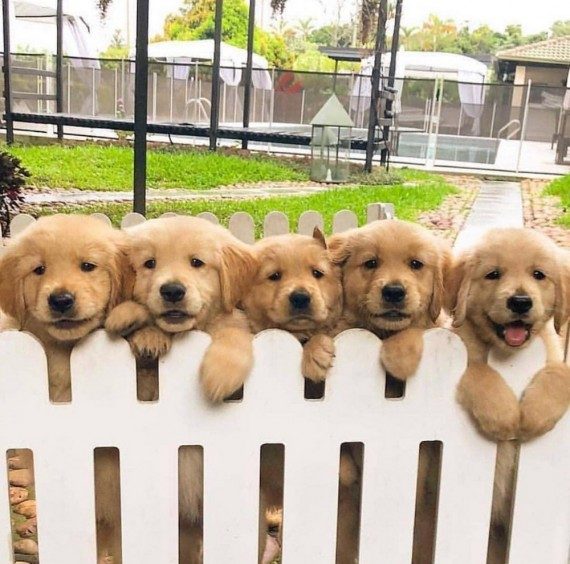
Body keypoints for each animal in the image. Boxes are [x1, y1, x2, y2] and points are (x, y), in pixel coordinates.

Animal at [104, 215, 257, 563]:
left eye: (197, 263)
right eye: (150, 263)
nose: (172, 290)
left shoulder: (234, 323)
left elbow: (233, 333)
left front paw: (220, 373)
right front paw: (136, 323)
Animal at [445, 228, 570, 563]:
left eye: (539, 274)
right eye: (493, 274)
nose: (520, 302)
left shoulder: (554, 357)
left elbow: (561, 372)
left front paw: (535, 414)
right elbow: (476, 368)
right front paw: (506, 417)